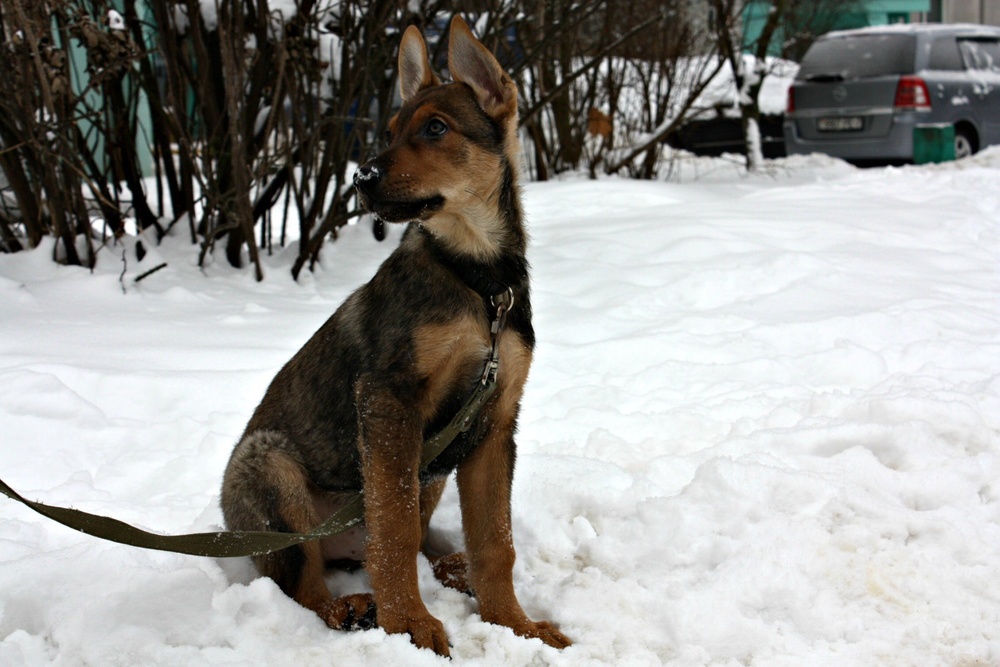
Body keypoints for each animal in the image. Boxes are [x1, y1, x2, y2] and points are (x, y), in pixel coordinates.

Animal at [223, 15, 576, 656]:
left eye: (436, 128)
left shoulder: (495, 421)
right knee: (304, 579)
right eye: (388, 131)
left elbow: (495, 541)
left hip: (431, 468)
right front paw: (409, 624)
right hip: (271, 465)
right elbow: (391, 530)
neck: (479, 279)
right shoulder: (389, 400)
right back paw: (349, 608)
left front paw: (515, 625)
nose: (361, 179)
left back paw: (450, 568)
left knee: (409, 542)